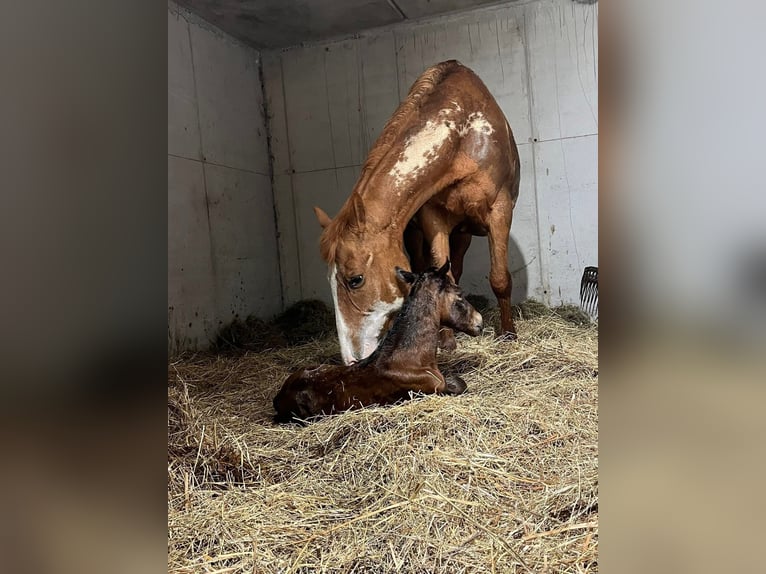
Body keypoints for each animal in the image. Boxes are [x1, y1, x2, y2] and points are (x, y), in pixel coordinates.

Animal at [273, 261, 483, 423]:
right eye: (459, 294)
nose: (479, 322)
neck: (410, 361)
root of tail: (278, 396)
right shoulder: (434, 388)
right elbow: (459, 384)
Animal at [314, 59, 520, 365]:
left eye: (355, 280)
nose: (352, 360)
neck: (463, 137)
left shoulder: (499, 212)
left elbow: (500, 277)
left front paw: (508, 335)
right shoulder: (433, 218)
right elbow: (442, 277)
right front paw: (446, 340)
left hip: (464, 233)